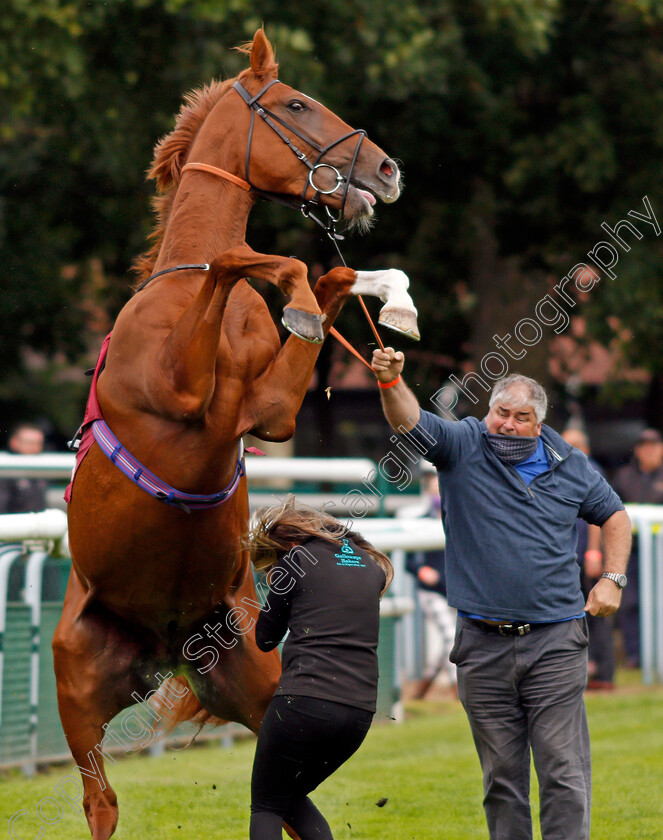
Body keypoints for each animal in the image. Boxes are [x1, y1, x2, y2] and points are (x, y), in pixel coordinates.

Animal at [57, 27, 418, 840]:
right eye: (295, 103)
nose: (386, 169)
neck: (185, 291)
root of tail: (167, 645)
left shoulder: (270, 411)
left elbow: (328, 281)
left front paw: (388, 300)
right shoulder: (186, 394)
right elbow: (247, 258)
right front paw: (302, 293)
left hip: (253, 681)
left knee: (288, 797)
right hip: (78, 695)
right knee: (101, 805)